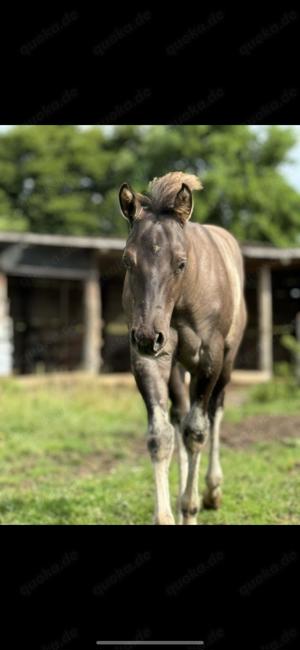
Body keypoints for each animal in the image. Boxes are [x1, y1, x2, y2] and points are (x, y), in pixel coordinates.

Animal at [119, 171, 246, 520]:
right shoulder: (150, 359)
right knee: (179, 414)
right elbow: (161, 435)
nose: (148, 336)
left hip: (227, 361)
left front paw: (191, 508)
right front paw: (167, 514)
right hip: (177, 365)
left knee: (214, 411)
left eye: (181, 263)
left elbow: (197, 431)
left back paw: (212, 491)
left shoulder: (210, 358)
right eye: (127, 260)